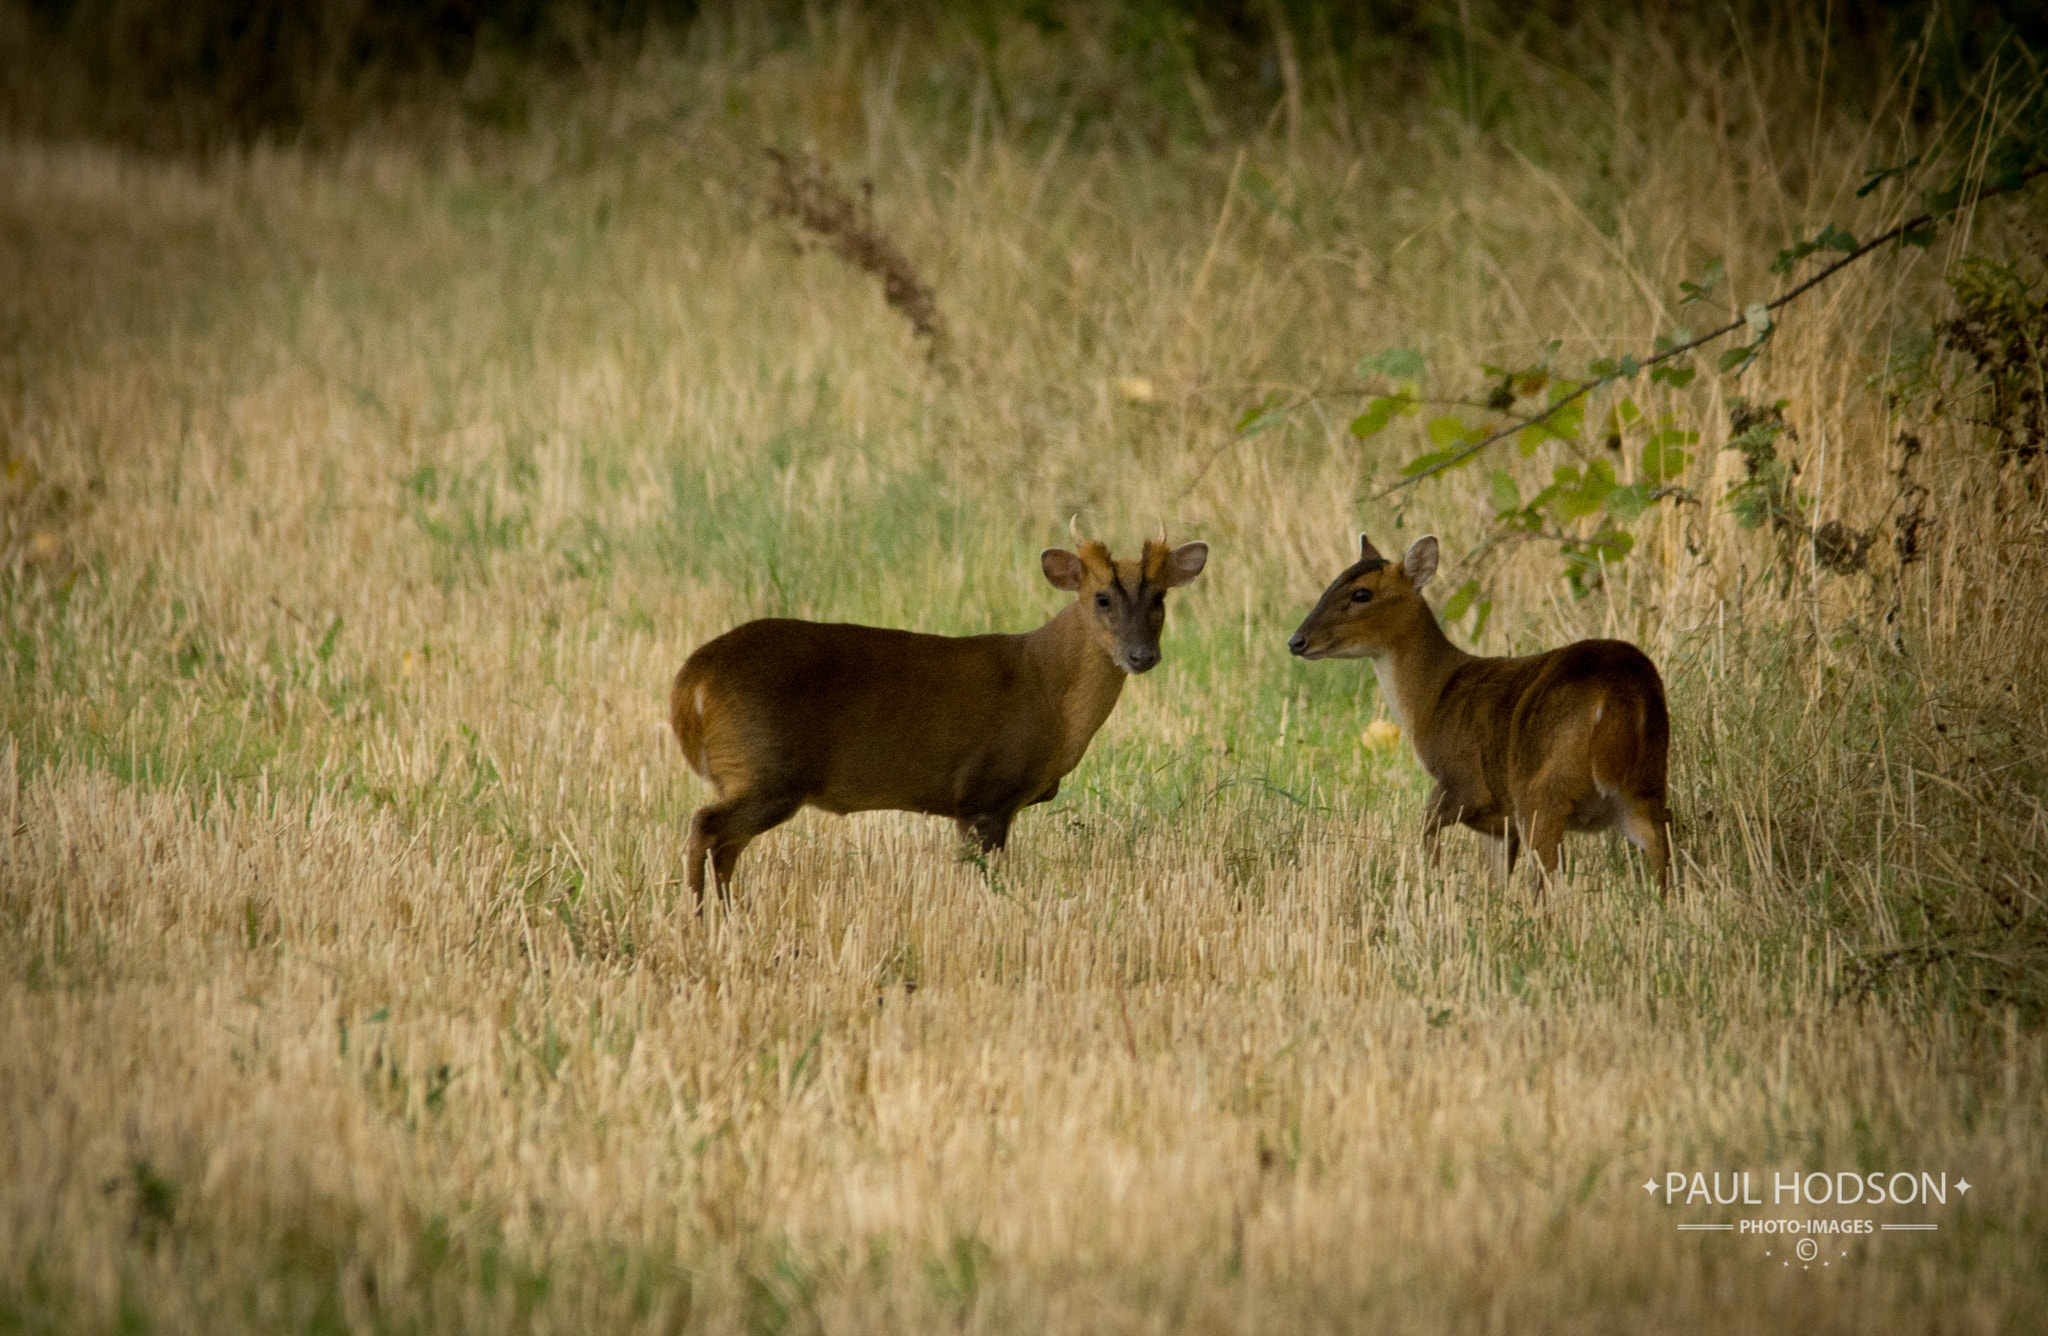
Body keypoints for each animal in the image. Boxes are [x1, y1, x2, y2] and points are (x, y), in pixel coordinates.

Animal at [671, 536, 1212, 901]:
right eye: (1101, 598)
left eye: (1160, 598)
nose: (1142, 656)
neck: (1049, 690)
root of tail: (691, 679)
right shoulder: (985, 793)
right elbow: (981, 878)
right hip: (765, 767)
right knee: (704, 827)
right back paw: (696, 915)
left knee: (725, 847)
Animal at [1286, 532, 1671, 897]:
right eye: (1332, 583)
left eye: (1361, 594)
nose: (1296, 641)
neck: (1432, 700)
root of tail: (1621, 691)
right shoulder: (1499, 819)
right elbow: (1495, 878)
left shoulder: (1463, 781)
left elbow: (1426, 829)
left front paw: (1435, 884)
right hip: (1645, 787)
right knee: (1662, 861)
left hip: (1541, 789)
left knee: (1552, 884)